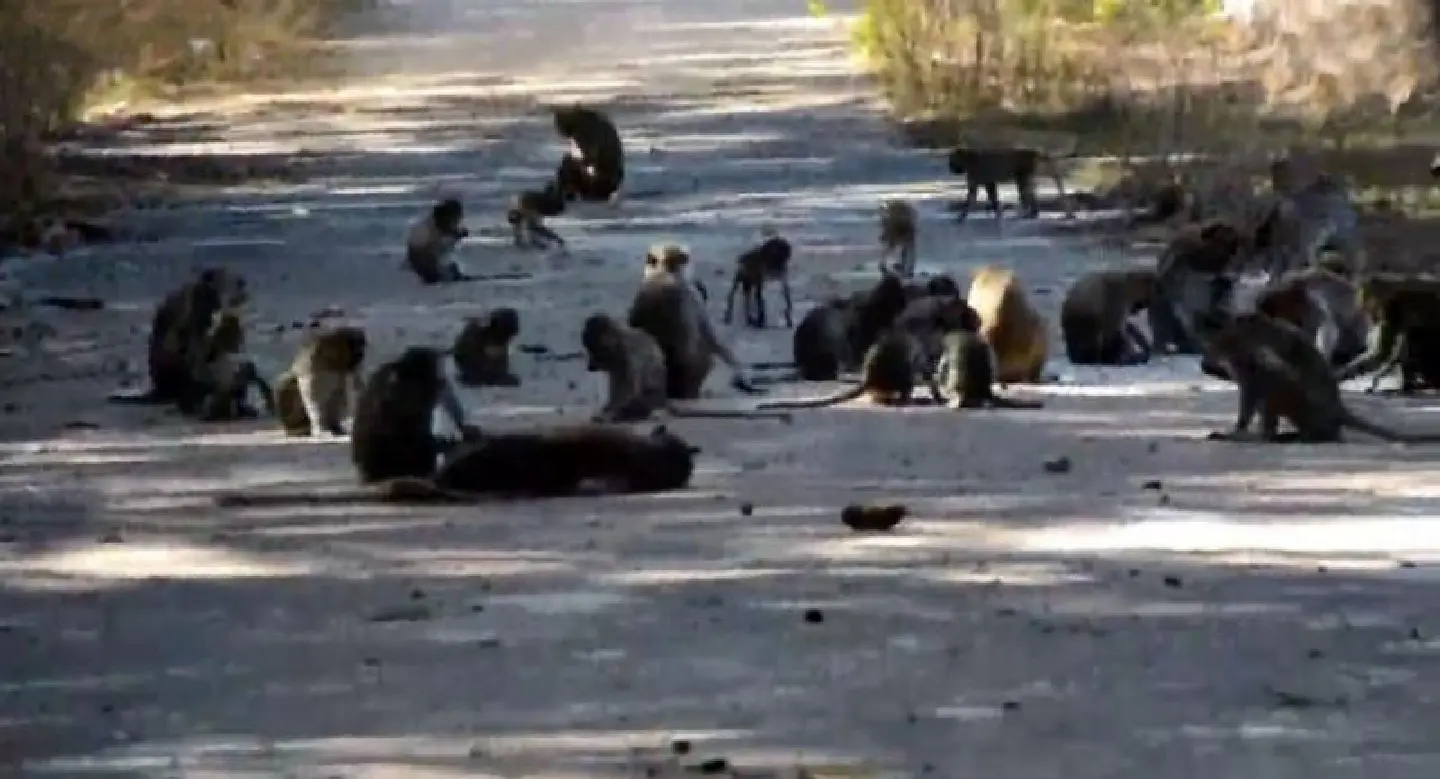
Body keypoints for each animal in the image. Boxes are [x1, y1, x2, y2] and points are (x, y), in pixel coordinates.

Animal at [581, 313, 789, 422]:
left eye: (593, 351)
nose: (590, 365)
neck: (618, 343)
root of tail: (662, 399)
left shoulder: (628, 354)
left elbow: (628, 387)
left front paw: (607, 414)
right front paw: (606, 409)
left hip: (648, 401)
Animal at [1202, 311, 1440, 444]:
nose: (1208, 360)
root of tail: (1335, 409)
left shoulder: (1252, 354)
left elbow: (1260, 381)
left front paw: (1239, 430)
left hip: (1304, 404)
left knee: (1278, 384)